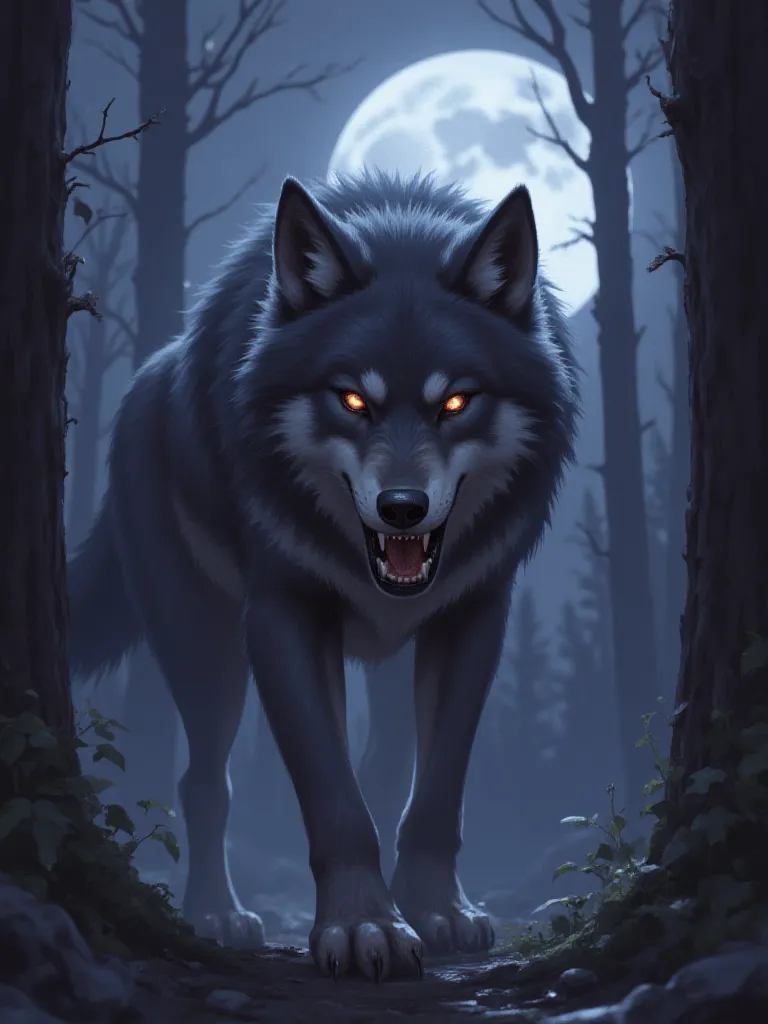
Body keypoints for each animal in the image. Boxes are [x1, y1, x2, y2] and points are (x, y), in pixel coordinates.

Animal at [68, 170, 579, 981]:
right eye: (352, 398)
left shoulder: (476, 616)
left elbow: (434, 792)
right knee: (202, 782)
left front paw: (434, 910)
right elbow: (334, 797)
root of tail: (148, 377)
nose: (401, 508)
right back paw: (215, 914)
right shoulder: (281, 616)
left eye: (455, 401)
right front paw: (365, 926)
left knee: (383, 766)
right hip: (203, 646)